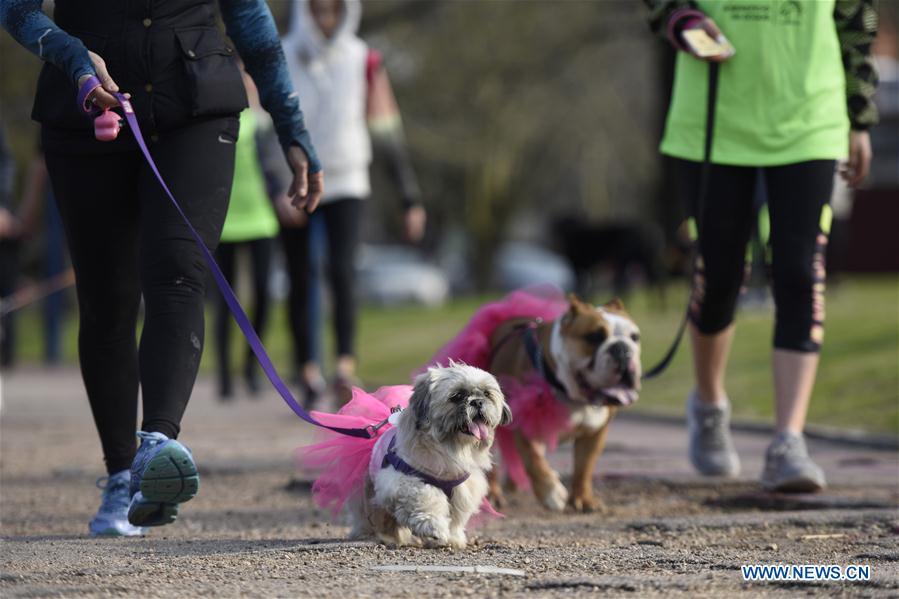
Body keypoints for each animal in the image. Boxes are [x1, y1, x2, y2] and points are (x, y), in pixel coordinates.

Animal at [348, 364, 510, 552]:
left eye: (486, 393)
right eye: (457, 396)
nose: (477, 401)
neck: (449, 448)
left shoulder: (462, 490)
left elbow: (456, 518)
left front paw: (452, 538)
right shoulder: (403, 481)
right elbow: (427, 499)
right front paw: (433, 527)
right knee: (377, 519)